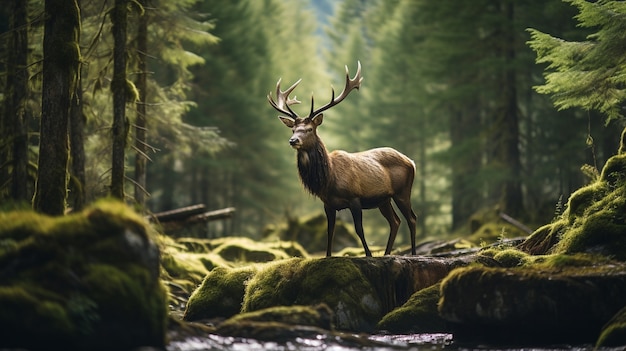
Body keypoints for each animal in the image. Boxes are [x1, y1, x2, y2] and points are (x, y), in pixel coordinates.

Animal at [266, 62, 416, 258]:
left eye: (309, 129)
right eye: (293, 130)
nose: (293, 140)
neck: (329, 179)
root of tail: (411, 162)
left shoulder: (355, 198)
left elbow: (359, 229)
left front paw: (368, 255)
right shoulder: (328, 204)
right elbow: (330, 231)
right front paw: (328, 256)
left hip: (402, 192)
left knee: (411, 218)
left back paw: (413, 253)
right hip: (384, 200)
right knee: (395, 222)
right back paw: (386, 254)